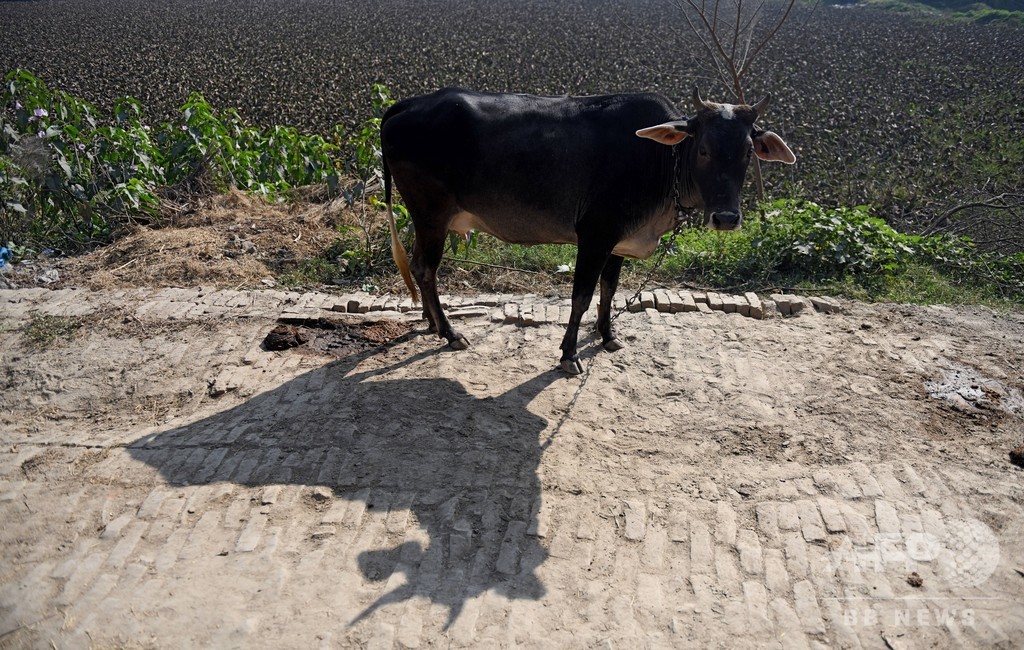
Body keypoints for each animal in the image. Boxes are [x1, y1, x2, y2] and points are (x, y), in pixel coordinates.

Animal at [380, 87, 794, 374]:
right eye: (704, 149)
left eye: (747, 151)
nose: (726, 218)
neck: (661, 160)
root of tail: (407, 104)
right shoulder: (594, 235)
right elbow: (580, 297)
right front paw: (568, 354)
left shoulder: (618, 242)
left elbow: (609, 290)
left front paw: (608, 336)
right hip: (431, 214)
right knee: (426, 270)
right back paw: (450, 333)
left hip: (426, 220)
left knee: (418, 267)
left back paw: (432, 323)